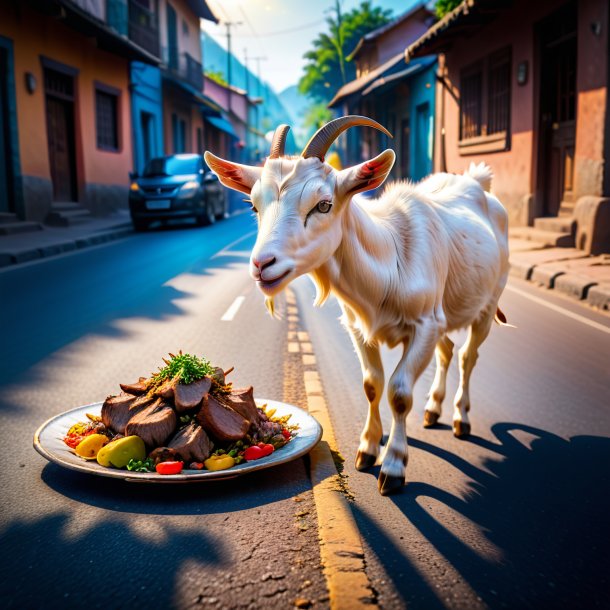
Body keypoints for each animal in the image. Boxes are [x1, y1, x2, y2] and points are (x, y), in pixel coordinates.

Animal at [204, 115, 508, 494]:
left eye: (323, 204)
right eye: (253, 205)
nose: (262, 264)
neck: (391, 258)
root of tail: (479, 183)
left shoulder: (425, 325)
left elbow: (399, 392)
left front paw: (393, 467)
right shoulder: (358, 327)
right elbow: (371, 385)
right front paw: (367, 450)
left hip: (488, 304)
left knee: (467, 357)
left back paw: (460, 419)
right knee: (448, 350)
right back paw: (433, 410)